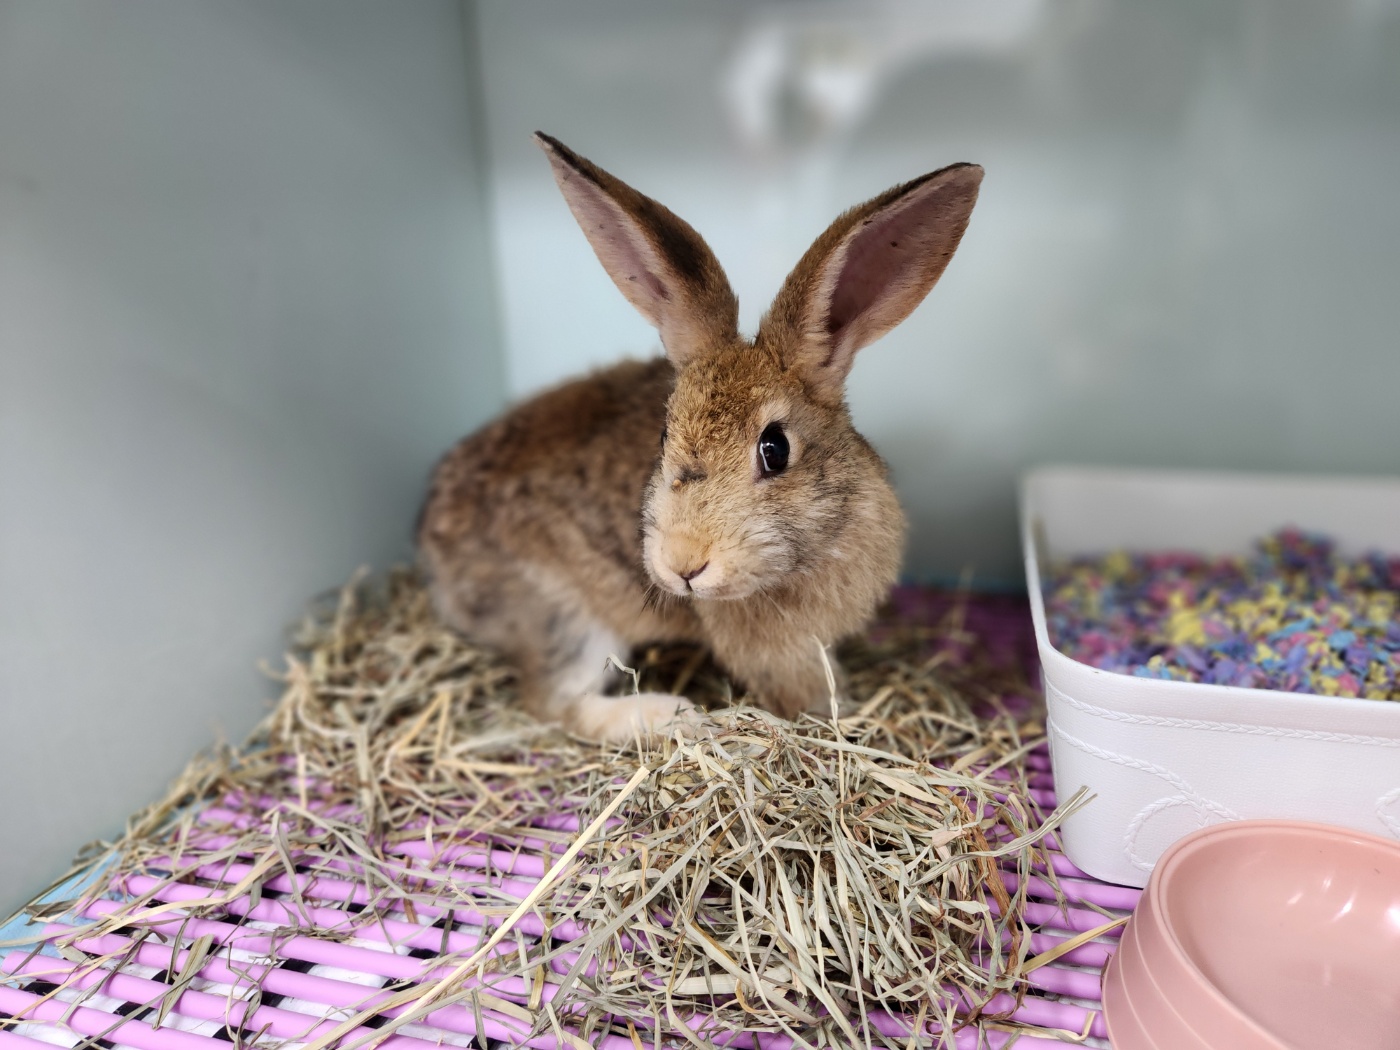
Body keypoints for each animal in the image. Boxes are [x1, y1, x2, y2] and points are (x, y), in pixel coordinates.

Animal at [420, 135, 980, 744]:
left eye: (775, 449)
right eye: (665, 434)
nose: (683, 565)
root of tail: (432, 556)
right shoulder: (779, 654)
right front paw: (834, 719)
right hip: (567, 618)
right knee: (557, 705)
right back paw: (671, 713)